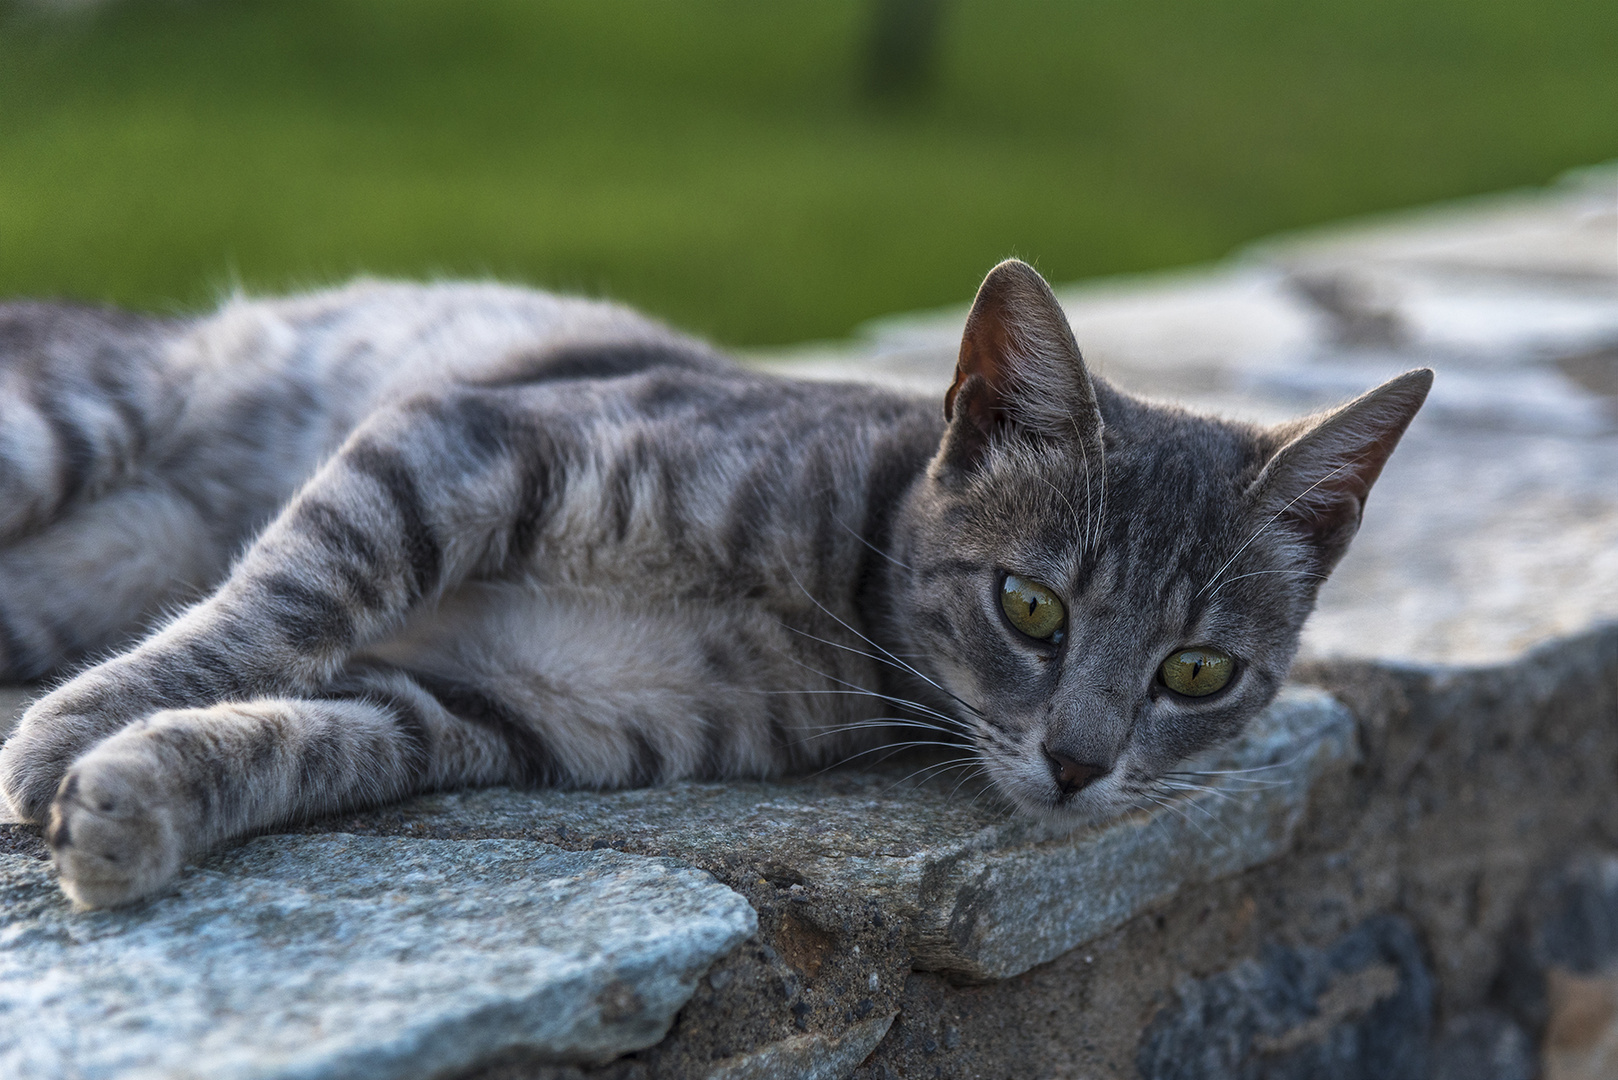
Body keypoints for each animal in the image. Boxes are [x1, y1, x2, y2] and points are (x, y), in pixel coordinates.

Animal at [0, 263, 1430, 913]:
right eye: (1031, 607)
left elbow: (306, 742)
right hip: (62, 425)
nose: (1081, 767)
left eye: (1197, 673)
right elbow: (280, 605)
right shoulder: (460, 441)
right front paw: (74, 727)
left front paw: (138, 799)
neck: (834, 596)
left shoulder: (509, 706)